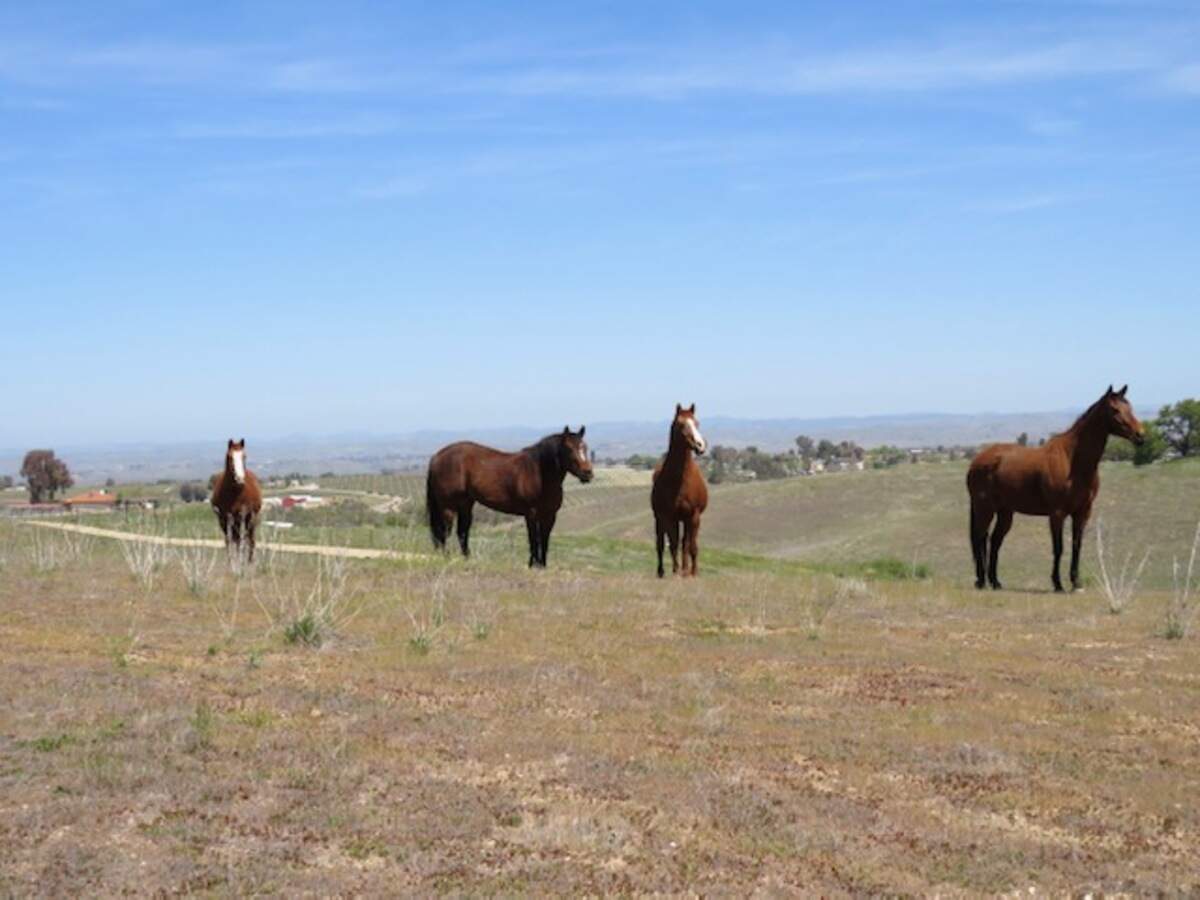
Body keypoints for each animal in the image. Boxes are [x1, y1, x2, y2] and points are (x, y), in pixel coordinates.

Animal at [426, 426, 593, 567]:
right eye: (569, 449)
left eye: (585, 447)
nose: (588, 473)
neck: (540, 473)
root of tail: (437, 456)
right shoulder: (531, 514)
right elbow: (534, 539)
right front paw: (533, 564)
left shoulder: (550, 516)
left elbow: (544, 540)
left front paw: (543, 565)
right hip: (447, 507)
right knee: (444, 532)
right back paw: (446, 558)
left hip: (465, 504)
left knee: (462, 532)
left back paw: (467, 558)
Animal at [651, 404, 709, 577]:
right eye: (681, 424)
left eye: (697, 423)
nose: (700, 445)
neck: (681, 480)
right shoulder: (670, 516)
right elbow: (673, 544)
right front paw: (676, 571)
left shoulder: (694, 516)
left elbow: (691, 546)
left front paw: (693, 572)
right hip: (660, 519)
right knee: (661, 544)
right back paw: (663, 571)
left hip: (685, 519)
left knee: (685, 543)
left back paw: (685, 569)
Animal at [967, 385, 1145, 592]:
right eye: (1115, 410)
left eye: (1129, 407)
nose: (1140, 435)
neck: (1072, 460)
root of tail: (977, 461)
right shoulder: (1057, 514)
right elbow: (1058, 548)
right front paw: (1058, 583)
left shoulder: (1082, 513)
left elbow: (1076, 545)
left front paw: (1076, 583)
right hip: (984, 509)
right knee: (980, 538)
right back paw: (981, 581)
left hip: (1005, 512)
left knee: (994, 541)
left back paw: (995, 582)